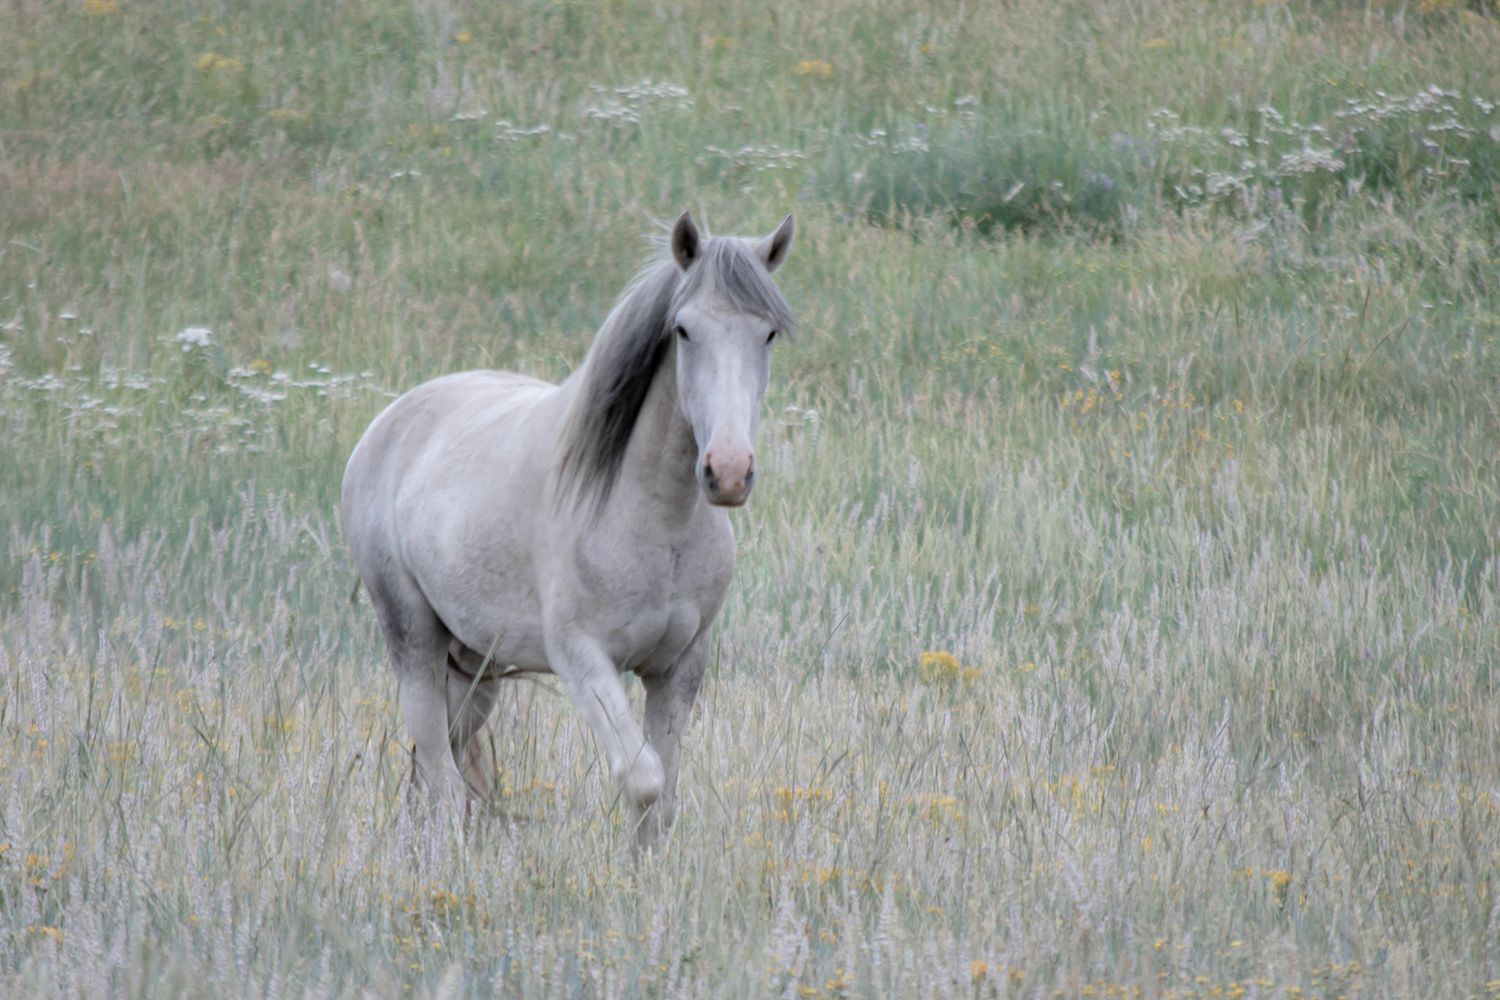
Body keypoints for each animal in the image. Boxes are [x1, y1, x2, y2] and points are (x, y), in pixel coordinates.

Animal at [341, 211, 796, 847]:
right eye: (683, 330)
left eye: (768, 334)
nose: (728, 472)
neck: (654, 522)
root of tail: (385, 426)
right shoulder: (583, 661)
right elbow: (643, 780)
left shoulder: (680, 667)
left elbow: (664, 800)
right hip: (413, 642)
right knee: (441, 781)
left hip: (473, 666)